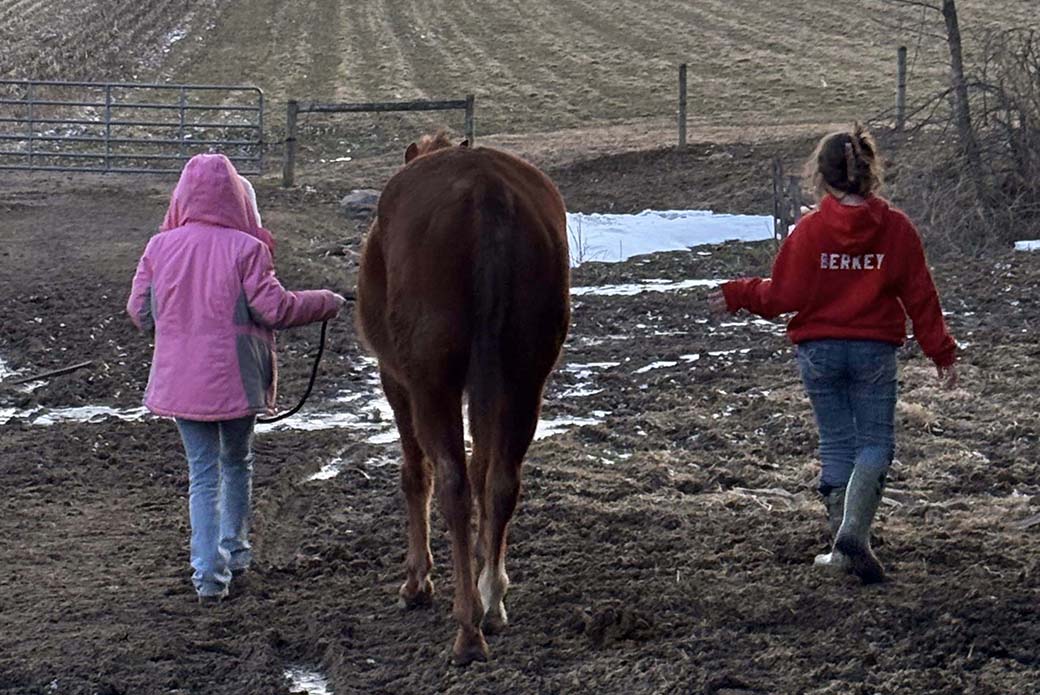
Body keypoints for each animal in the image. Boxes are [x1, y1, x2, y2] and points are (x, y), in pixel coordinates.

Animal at [356, 132, 570, 664]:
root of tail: (486, 190)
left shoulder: (398, 382)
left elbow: (417, 476)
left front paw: (418, 581)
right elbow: (483, 469)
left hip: (433, 385)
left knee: (452, 484)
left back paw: (468, 627)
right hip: (525, 380)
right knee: (501, 481)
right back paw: (491, 601)